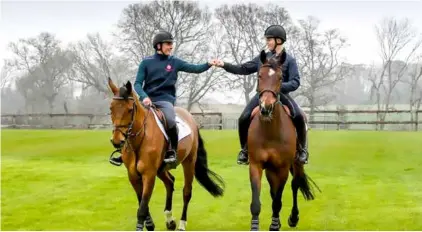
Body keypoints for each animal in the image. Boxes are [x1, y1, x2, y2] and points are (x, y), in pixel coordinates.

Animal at [107, 77, 226, 230]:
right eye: (111, 108)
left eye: (129, 110)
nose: (117, 141)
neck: (139, 139)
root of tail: (190, 117)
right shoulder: (133, 175)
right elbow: (142, 204)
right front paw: (150, 224)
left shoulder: (149, 174)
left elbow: (142, 207)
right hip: (161, 169)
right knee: (170, 183)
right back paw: (170, 220)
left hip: (188, 162)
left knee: (187, 192)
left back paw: (181, 224)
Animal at [247, 50, 320, 230]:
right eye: (259, 75)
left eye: (280, 77)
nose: (266, 107)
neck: (270, 131)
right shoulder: (256, 165)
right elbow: (257, 202)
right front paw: (256, 226)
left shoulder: (282, 168)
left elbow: (278, 201)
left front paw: (274, 225)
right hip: (270, 169)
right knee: (274, 191)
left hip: (296, 164)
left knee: (295, 185)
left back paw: (293, 218)